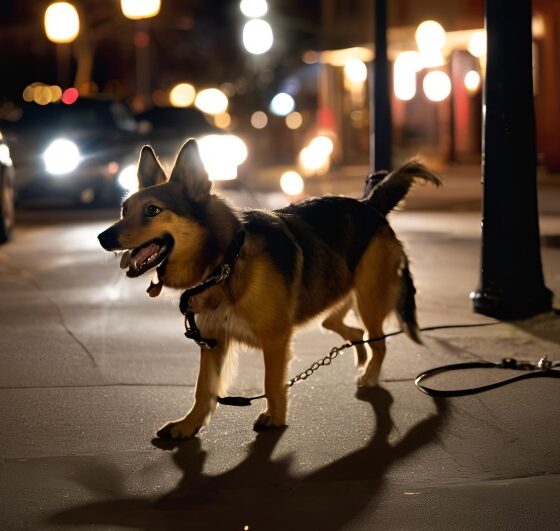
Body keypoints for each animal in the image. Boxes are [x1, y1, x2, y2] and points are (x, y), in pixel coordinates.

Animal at [97, 138, 442, 440]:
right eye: (125, 210)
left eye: (152, 210)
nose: (102, 237)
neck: (226, 260)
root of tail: (369, 205)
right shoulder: (212, 341)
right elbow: (203, 390)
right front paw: (189, 425)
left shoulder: (275, 339)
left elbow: (271, 382)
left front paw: (274, 417)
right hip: (336, 299)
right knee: (351, 330)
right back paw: (359, 355)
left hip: (368, 300)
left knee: (379, 342)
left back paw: (369, 374)